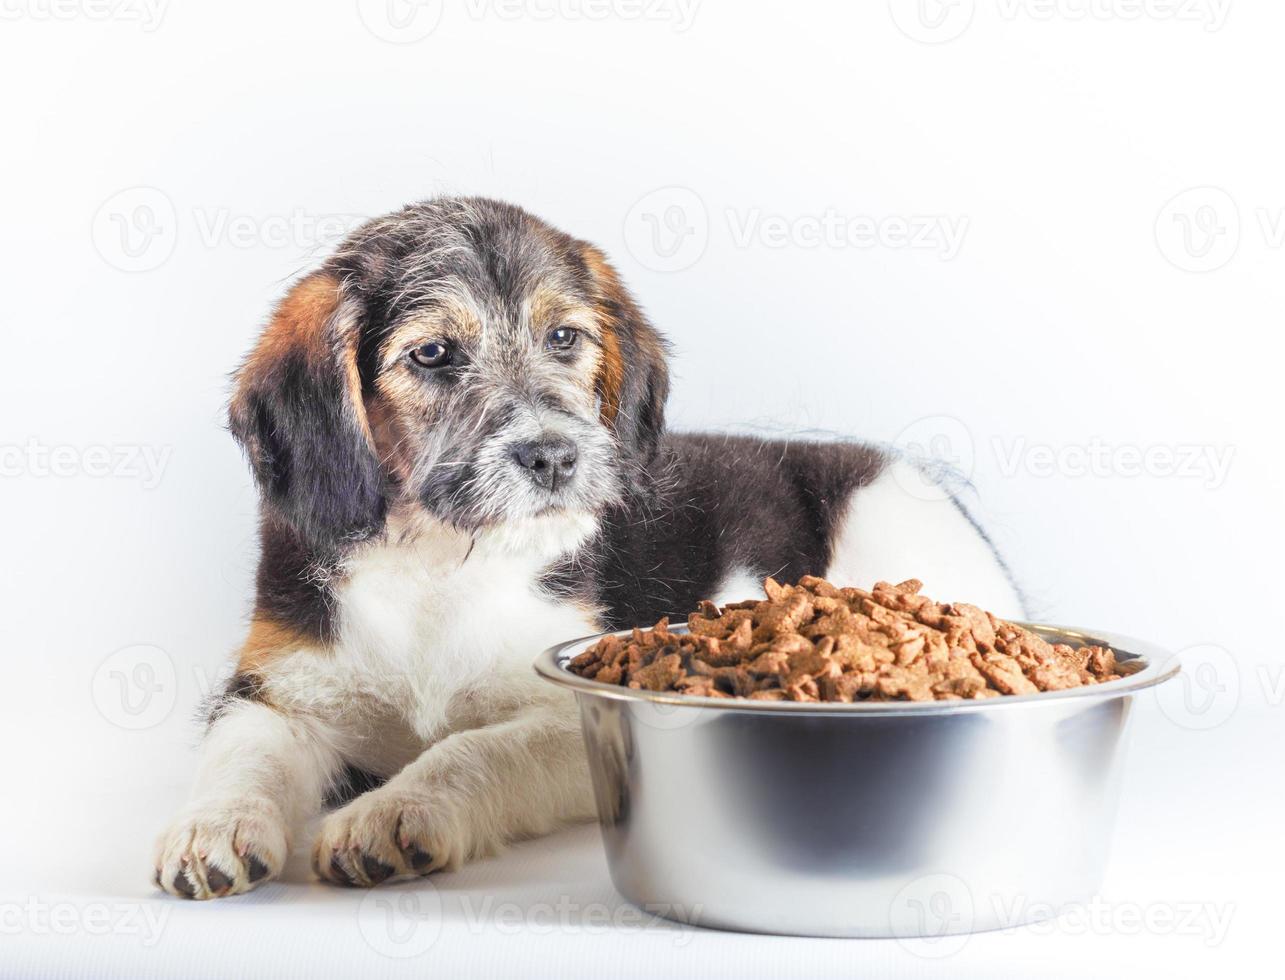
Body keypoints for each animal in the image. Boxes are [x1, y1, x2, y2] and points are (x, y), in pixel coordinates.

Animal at [152, 195, 1022, 899]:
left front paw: (395, 812)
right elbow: (243, 755)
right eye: (432, 354)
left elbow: (472, 750)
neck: (438, 563)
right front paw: (211, 828)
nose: (554, 457)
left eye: (564, 337)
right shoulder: (278, 691)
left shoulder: (566, 712)